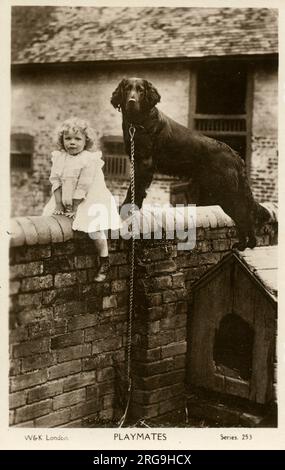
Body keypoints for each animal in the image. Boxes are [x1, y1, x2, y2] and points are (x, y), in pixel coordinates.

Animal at [110, 77, 268, 250]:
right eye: (127, 89)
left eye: (141, 90)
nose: (131, 101)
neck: (139, 122)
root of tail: (236, 156)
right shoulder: (136, 161)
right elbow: (134, 188)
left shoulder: (145, 163)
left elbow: (136, 189)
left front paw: (127, 209)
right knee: (243, 217)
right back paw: (245, 244)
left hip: (226, 192)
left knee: (244, 215)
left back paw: (246, 244)